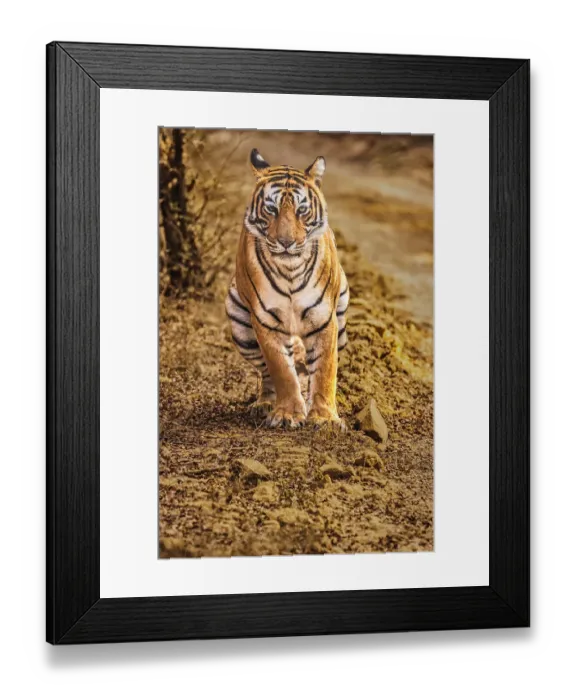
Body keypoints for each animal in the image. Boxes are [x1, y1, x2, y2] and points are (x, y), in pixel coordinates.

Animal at [225, 148, 349, 430]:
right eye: (271, 209)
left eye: (302, 210)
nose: (286, 242)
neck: (290, 270)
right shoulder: (265, 321)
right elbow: (281, 370)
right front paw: (288, 414)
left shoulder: (323, 319)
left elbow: (325, 370)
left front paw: (325, 418)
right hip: (241, 328)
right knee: (267, 373)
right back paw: (265, 404)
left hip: (342, 324)